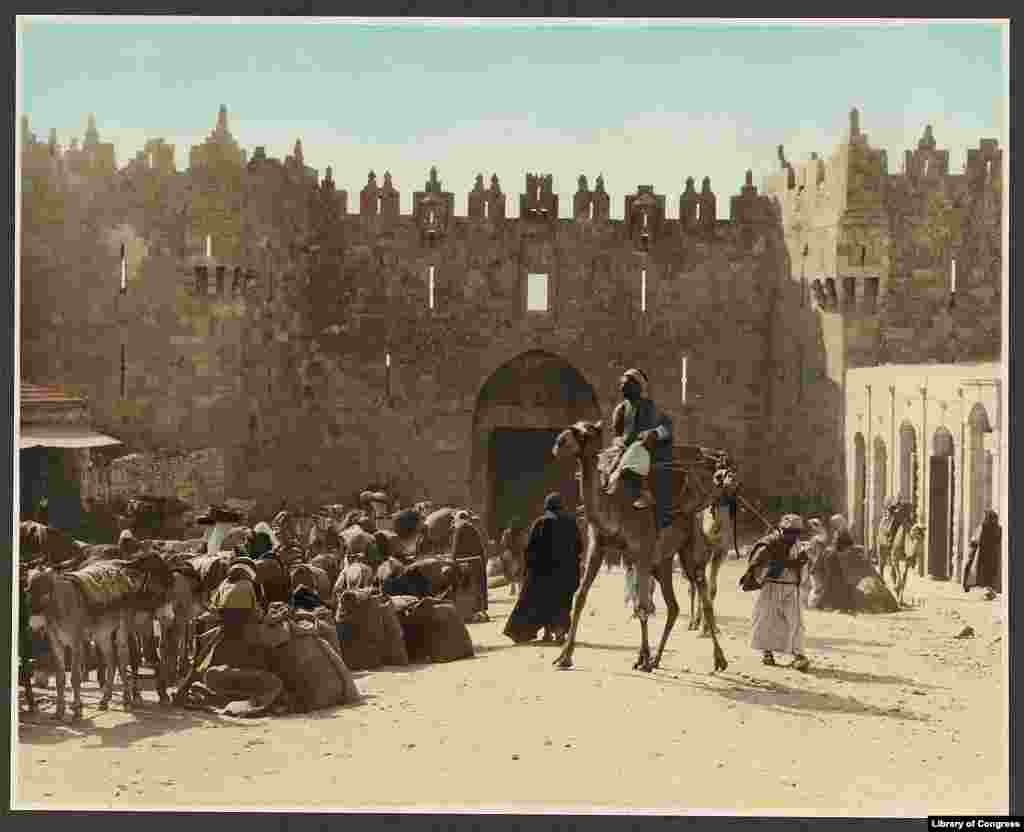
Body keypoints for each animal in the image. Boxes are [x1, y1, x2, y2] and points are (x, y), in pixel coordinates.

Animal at [552, 422, 737, 676]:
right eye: (574, 428)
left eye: (585, 433)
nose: (558, 443)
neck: (617, 507)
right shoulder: (599, 547)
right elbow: (581, 596)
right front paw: (564, 657)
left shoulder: (641, 551)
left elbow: (642, 606)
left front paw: (644, 660)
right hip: (663, 562)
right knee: (673, 606)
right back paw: (658, 658)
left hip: (689, 548)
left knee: (702, 591)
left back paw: (719, 659)